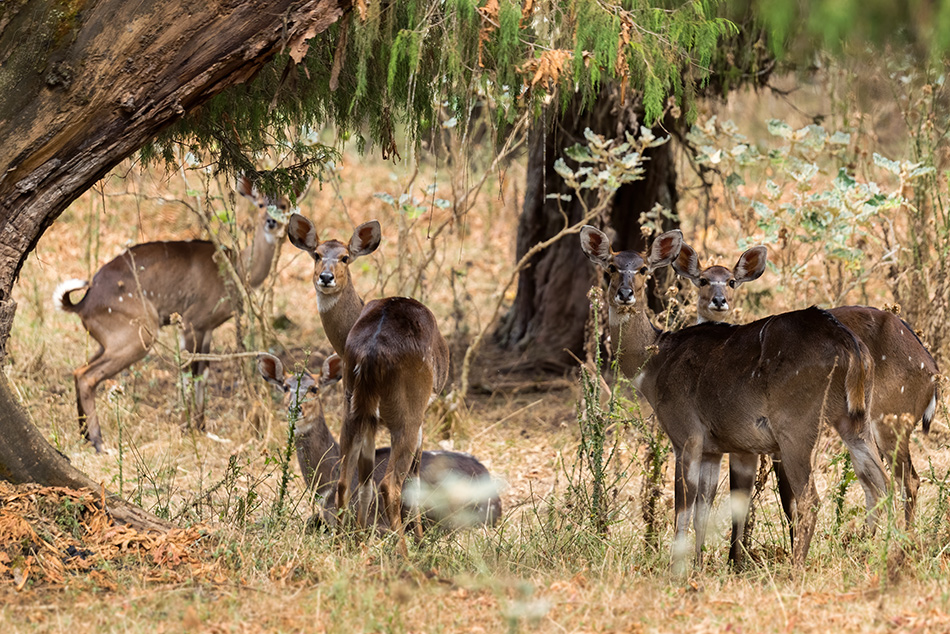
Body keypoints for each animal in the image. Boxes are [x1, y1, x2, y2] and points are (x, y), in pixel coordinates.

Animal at [55, 174, 302, 450]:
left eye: (283, 205)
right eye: (260, 204)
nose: (271, 222)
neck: (235, 268)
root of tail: (82, 304)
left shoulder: (207, 328)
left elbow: (203, 372)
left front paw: (203, 427)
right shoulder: (191, 321)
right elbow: (187, 372)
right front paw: (187, 428)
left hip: (108, 339)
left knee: (78, 370)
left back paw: (85, 436)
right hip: (138, 333)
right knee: (87, 376)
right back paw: (99, 443)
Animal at [580, 226, 892, 568]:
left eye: (643, 269)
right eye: (611, 267)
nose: (625, 294)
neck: (656, 363)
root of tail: (851, 346)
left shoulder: (686, 433)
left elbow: (682, 508)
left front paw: (676, 569)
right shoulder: (713, 447)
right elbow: (704, 508)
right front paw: (698, 566)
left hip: (797, 424)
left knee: (811, 498)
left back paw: (797, 567)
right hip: (854, 417)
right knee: (882, 483)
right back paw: (886, 548)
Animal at [672, 242, 940, 544]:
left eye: (731, 281)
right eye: (702, 280)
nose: (719, 302)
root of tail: (932, 370)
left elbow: (786, 501)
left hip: (887, 423)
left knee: (907, 480)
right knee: (876, 482)